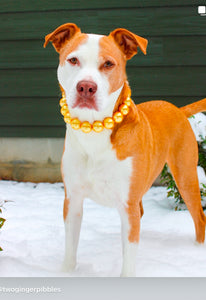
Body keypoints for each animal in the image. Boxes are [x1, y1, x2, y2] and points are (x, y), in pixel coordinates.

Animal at [44, 23, 206, 276]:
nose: (86, 87)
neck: (94, 133)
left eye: (108, 64)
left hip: (186, 176)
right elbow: (71, 247)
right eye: (73, 60)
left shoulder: (127, 205)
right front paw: (66, 272)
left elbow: (129, 255)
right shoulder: (73, 200)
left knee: (199, 218)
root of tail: (177, 109)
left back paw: (197, 251)